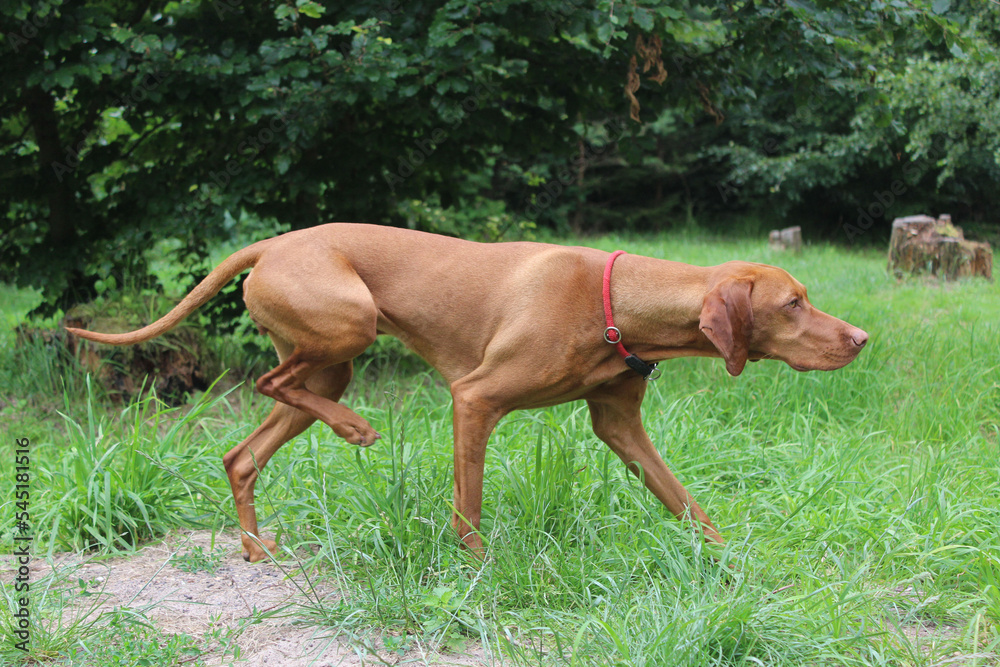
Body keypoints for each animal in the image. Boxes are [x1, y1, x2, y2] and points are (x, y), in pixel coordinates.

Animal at [68, 226, 868, 564]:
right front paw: (477, 560)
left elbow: (686, 500)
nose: (861, 338)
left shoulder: (621, 428)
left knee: (242, 453)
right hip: (348, 326)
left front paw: (730, 560)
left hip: (325, 365)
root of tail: (272, 242)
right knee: (270, 382)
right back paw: (355, 431)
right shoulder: (474, 399)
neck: (616, 301)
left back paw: (255, 546)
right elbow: (469, 501)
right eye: (794, 302)